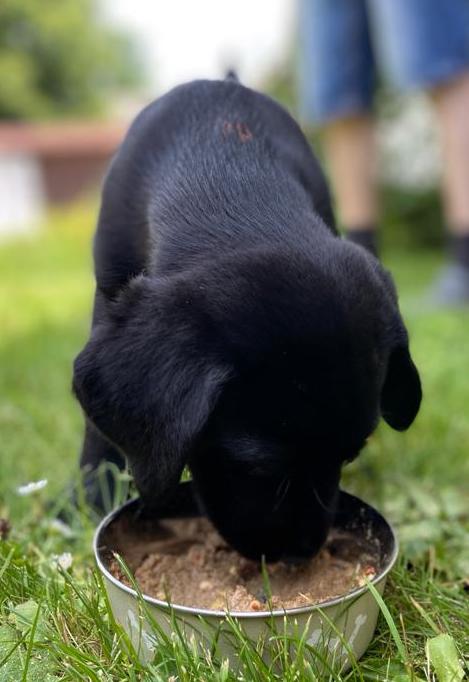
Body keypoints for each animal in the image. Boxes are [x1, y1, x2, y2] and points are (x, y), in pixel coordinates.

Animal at [73, 77, 420, 560]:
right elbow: (97, 433)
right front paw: (90, 499)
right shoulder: (109, 294)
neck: (228, 171)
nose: (303, 552)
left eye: (350, 456)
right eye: (258, 468)